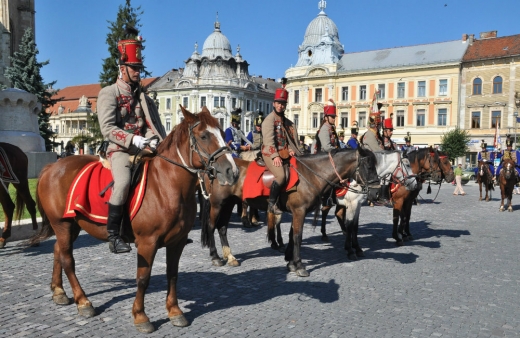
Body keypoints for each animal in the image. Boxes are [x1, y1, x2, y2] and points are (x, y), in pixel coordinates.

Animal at [27, 107, 239, 334]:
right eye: (204, 136)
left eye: (221, 132)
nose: (232, 171)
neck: (167, 185)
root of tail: (52, 166)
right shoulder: (147, 243)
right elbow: (143, 278)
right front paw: (140, 316)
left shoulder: (178, 241)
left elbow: (172, 274)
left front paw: (175, 312)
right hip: (62, 224)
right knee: (68, 260)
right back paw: (83, 302)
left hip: (72, 225)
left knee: (58, 251)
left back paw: (59, 292)